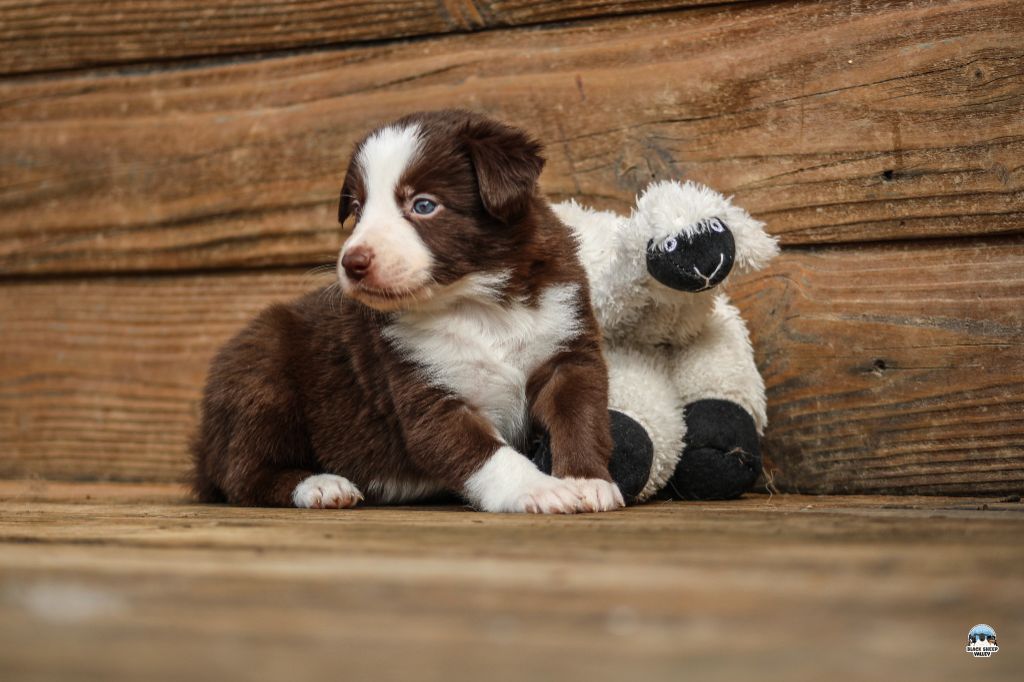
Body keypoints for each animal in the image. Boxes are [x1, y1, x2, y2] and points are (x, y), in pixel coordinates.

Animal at [192, 109, 622, 509]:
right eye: (357, 209)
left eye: (424, 205)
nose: (352, 262)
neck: (478, 303)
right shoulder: (426, 394)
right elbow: (490, 456)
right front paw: (537, 489)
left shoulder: (568, 352)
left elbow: (580, 419)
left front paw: (586, 481)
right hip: (262, 378)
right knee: (244, 474)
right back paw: (320, 485)